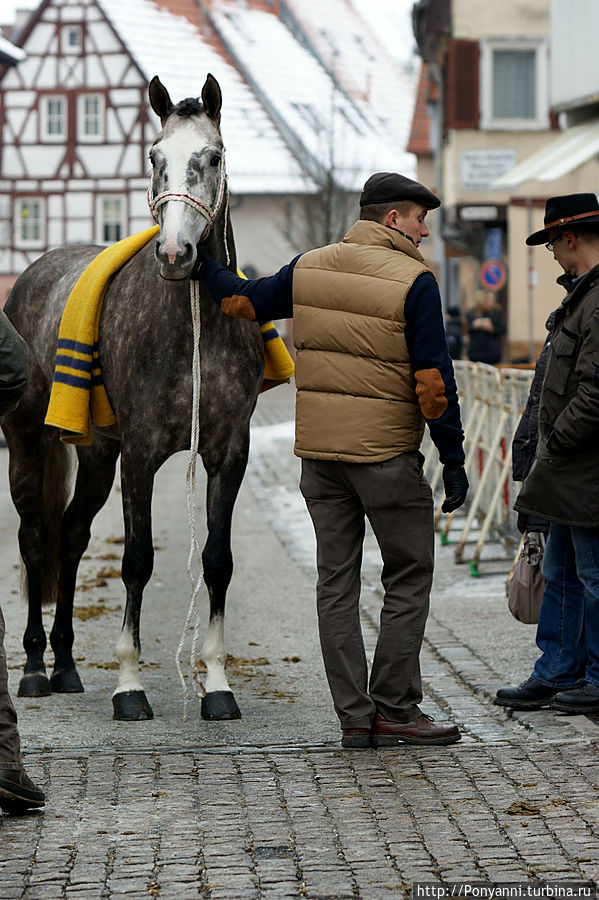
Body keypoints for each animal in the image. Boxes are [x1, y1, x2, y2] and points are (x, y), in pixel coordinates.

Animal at [2, 75, 264, 724]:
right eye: (154, 157)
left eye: (212, 157)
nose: (174, 254)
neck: (194, 324)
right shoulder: (140, 456)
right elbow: (137, 560)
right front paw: (129, 685)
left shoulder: (229, 455)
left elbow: (217, 561)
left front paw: (216, 684)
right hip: (27, 446)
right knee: (36, 540)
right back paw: (36, 668)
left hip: (97, 455)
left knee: (71, 535)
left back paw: (67, 666)